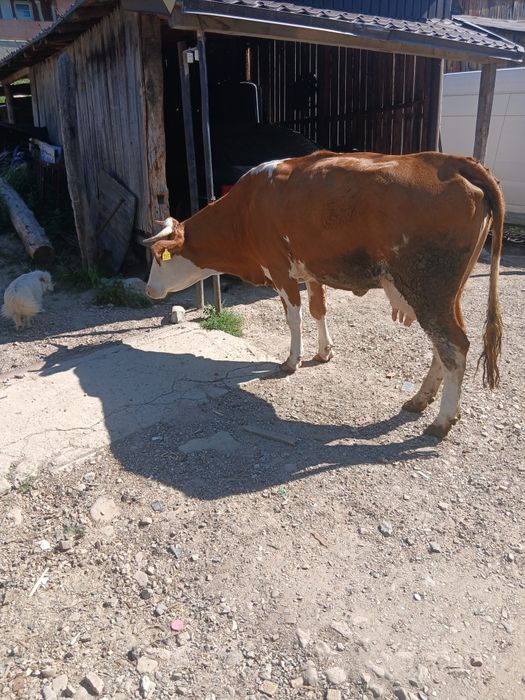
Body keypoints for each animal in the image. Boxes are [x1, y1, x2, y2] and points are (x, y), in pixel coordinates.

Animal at [144, 151, 504, 439]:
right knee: (443, 347)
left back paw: (442, 420)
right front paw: (323, 351)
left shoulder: (281, 270)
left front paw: (292, 361)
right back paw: (420, 400)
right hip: (443, 294)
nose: (148, 289)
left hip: (428, 288)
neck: (246, 209)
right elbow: (318, 310)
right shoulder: (311, 272)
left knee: (453, 346)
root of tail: (447, 161)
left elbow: (294, 318)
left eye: (159, 258)